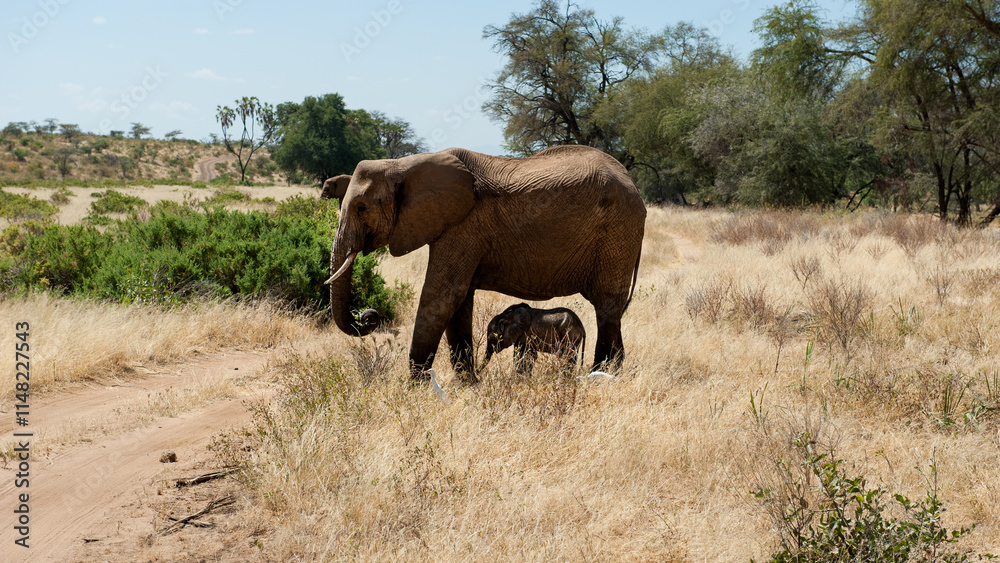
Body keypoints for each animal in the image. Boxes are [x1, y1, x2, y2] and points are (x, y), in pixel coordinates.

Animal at [325, 145, 646, 382]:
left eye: (361, 208)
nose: (369, 315)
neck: (404, 164)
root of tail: (634, 185)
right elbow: (460, 301)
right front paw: (468, 385)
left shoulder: (464, 224)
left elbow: (442, 295)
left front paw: (415, 389)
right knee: (610, 311)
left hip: (617, 233)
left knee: (606, 307)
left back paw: (602, 375)